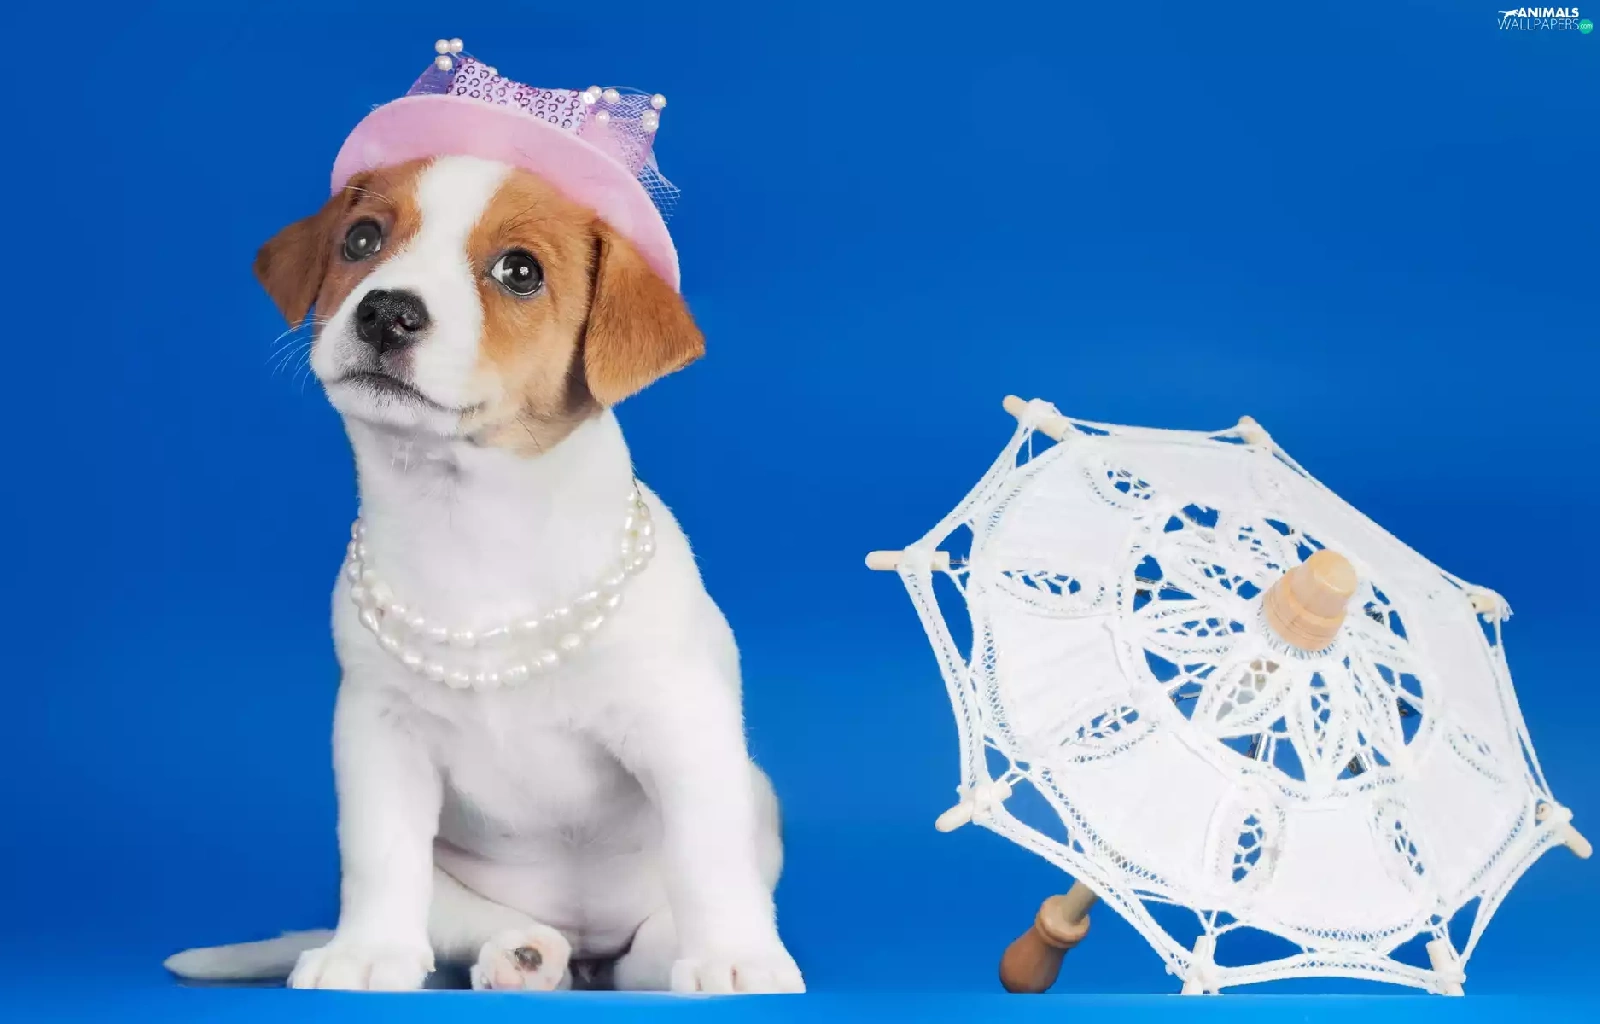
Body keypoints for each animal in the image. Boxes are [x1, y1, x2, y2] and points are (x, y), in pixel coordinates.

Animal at [164, 154, 804, 994]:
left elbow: (708, 859)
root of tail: (586, 946)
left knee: (651, 943)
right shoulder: (379, 734)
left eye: (519, 271)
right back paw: (523, 954)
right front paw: (367, 951)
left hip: (752, 805)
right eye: (362, 239)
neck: (472, 522)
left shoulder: (680, 727)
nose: (387, 313)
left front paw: (733, 954)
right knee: (479, 924)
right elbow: (380, 856)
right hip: (460, 889)